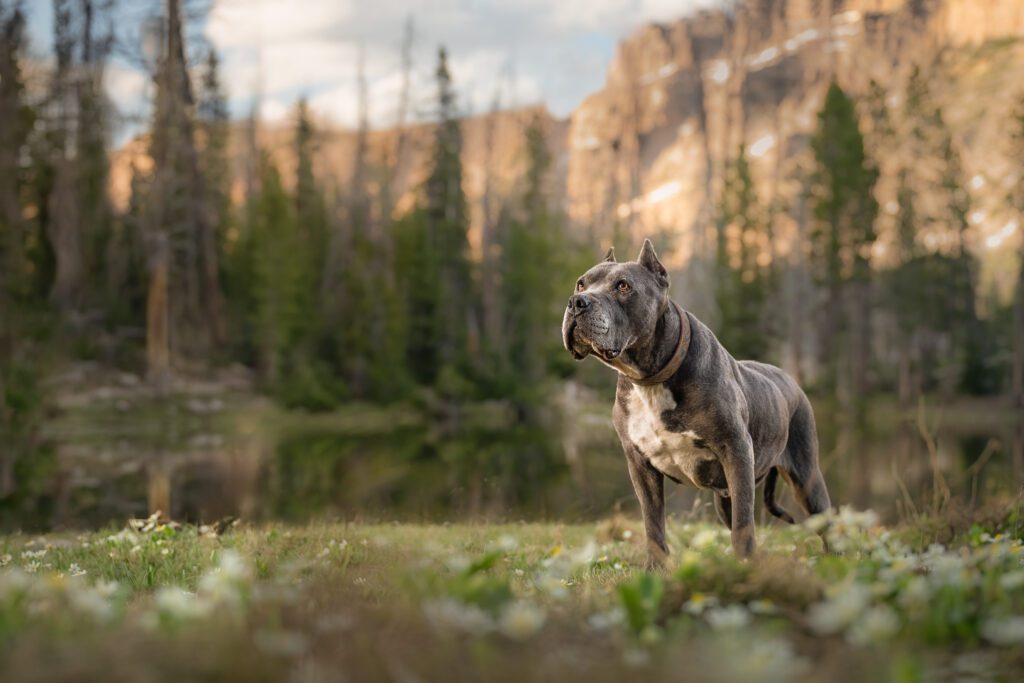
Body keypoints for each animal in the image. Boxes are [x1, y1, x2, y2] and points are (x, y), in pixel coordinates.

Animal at [561, 240, 831, 565]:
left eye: (623, 286)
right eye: (581, 283)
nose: (577, 302)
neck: (650, 379)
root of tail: (792, 381)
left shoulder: (737, 452)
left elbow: (744, 526)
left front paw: (744, 567)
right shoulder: (640, 464)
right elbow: (653, 524)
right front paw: (655, 568)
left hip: (806, 478)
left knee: (826, 524)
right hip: (725, 498)